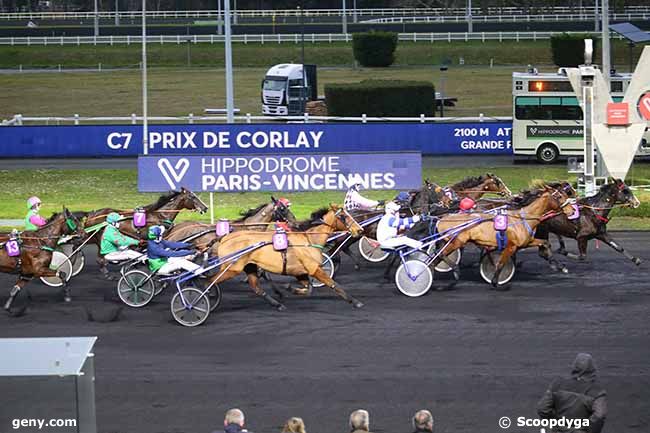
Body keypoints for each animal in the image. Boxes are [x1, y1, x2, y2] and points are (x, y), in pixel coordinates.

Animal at [75, 187, 209, 278]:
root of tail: (92, 213)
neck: (159, 215)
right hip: (98, 237)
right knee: (97, 256)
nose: (205, 207)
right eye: (192, 197)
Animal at [206, 204, 362, 308]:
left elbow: (308, 289)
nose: (359, 230)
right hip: (232, 268)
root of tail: (224, 237)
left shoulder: (300, 272)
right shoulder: (314, 269)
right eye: (344, 216)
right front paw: (355, 302)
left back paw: (277, 304)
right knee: (209, 282)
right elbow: (333, 284)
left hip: (249, 266)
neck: (308, 240)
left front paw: (290, 288)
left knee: (256, 287)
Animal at [432, 184, 576, 288]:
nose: (572, 210)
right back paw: (455, 271)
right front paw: (495, 281)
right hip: (456, 241)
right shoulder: (511, 246)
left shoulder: (526, 242)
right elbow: (501, 263)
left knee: (436, 258)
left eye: (565, 194)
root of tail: (442, 218)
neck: (524, 218)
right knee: (441, 254)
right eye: (559, 196)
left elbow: (545, 243)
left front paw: (560, 266)